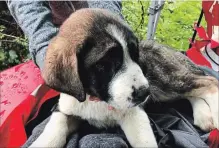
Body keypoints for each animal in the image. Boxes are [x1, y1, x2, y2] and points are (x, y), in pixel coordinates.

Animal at [29, 8, 219, 148]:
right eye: (104, 64)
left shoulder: (135, 113)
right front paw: (42, 143)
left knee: (209, 82)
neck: (97, 99)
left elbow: (144, 142)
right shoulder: (65, 106)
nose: (144, 93)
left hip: (165, 79)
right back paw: (203, 116)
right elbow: (56, 126)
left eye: (136, 55)